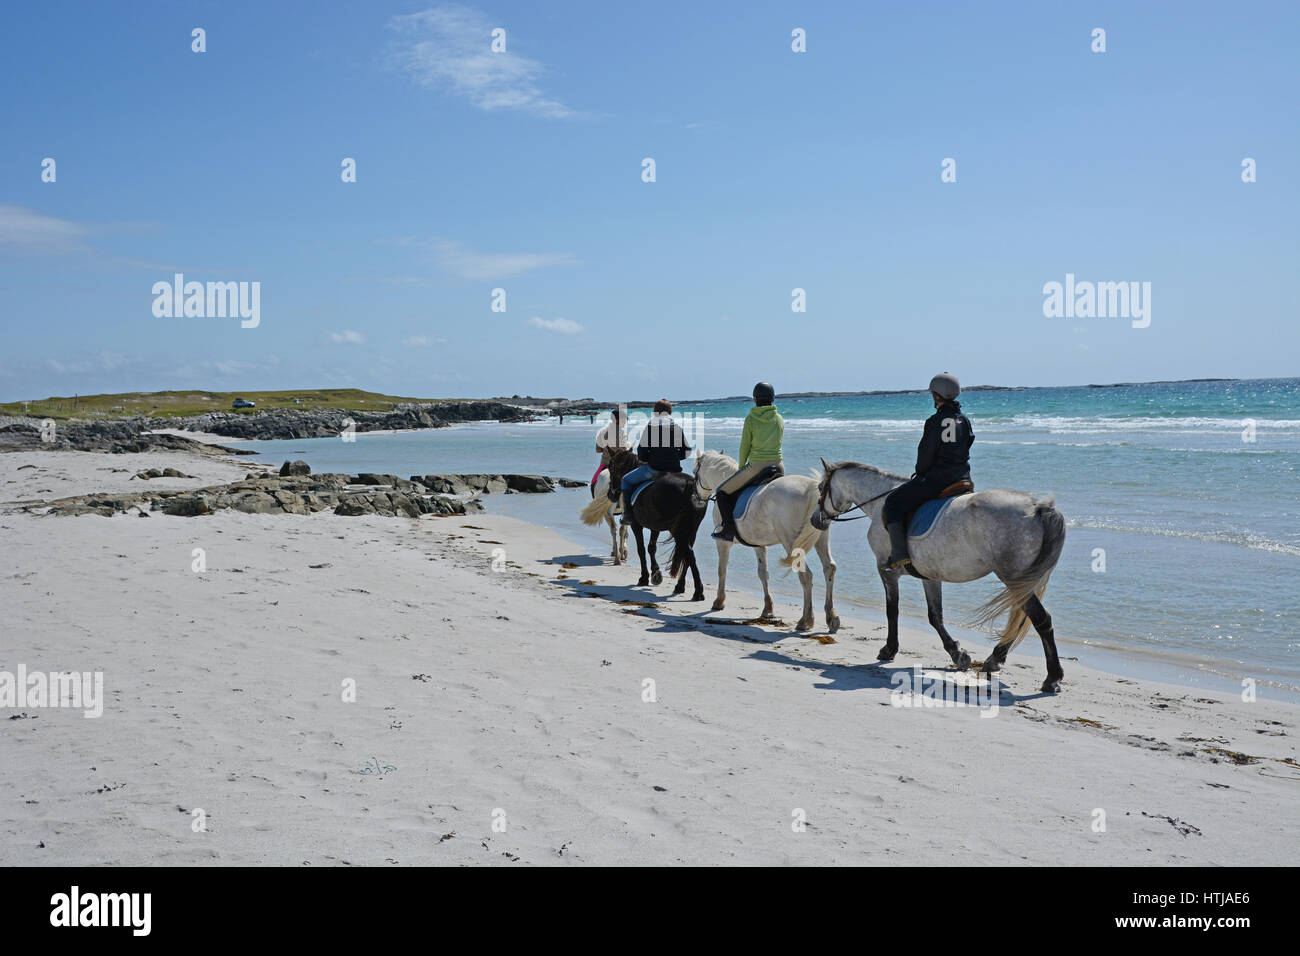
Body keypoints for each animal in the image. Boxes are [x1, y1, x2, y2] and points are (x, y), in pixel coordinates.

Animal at [582, 447, 707, 598]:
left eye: (611, 467)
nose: (611, 495)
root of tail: (689, 485)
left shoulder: (636, 525)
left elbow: (641, 549)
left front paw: (644, 578)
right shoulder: (655, 526)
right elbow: (651, 547)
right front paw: (656, 574)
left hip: (677, 529)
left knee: (688, 553)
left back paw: (698, 591)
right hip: (692, 529)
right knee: (686, 554)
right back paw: (680, 586)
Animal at [696, 450, 837, 634]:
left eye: (695, 472)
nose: (697, 498)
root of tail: (811, 488)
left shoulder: (722, 543)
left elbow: (722, 570)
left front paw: (719, 602)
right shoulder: (758, 545)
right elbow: (763, 573)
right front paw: (768, 609)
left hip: (790, 542)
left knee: (806, 575)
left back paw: (806, 620)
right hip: (821, 537)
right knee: (829, 569)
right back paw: (831, 618)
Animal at [811, 460, 1066, 691]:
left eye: (821, 487)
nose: (815, 520)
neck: (879, 503)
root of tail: (1040, 507)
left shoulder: (886, 571)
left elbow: (892, 610)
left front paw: (889, 649)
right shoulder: (929, 576)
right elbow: (935, 616)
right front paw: (958, 654)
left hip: (1014, 578)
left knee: (1040, 619)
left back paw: (1052, 677)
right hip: (1023, 581)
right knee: (1024, 617)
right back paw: (995, 659)